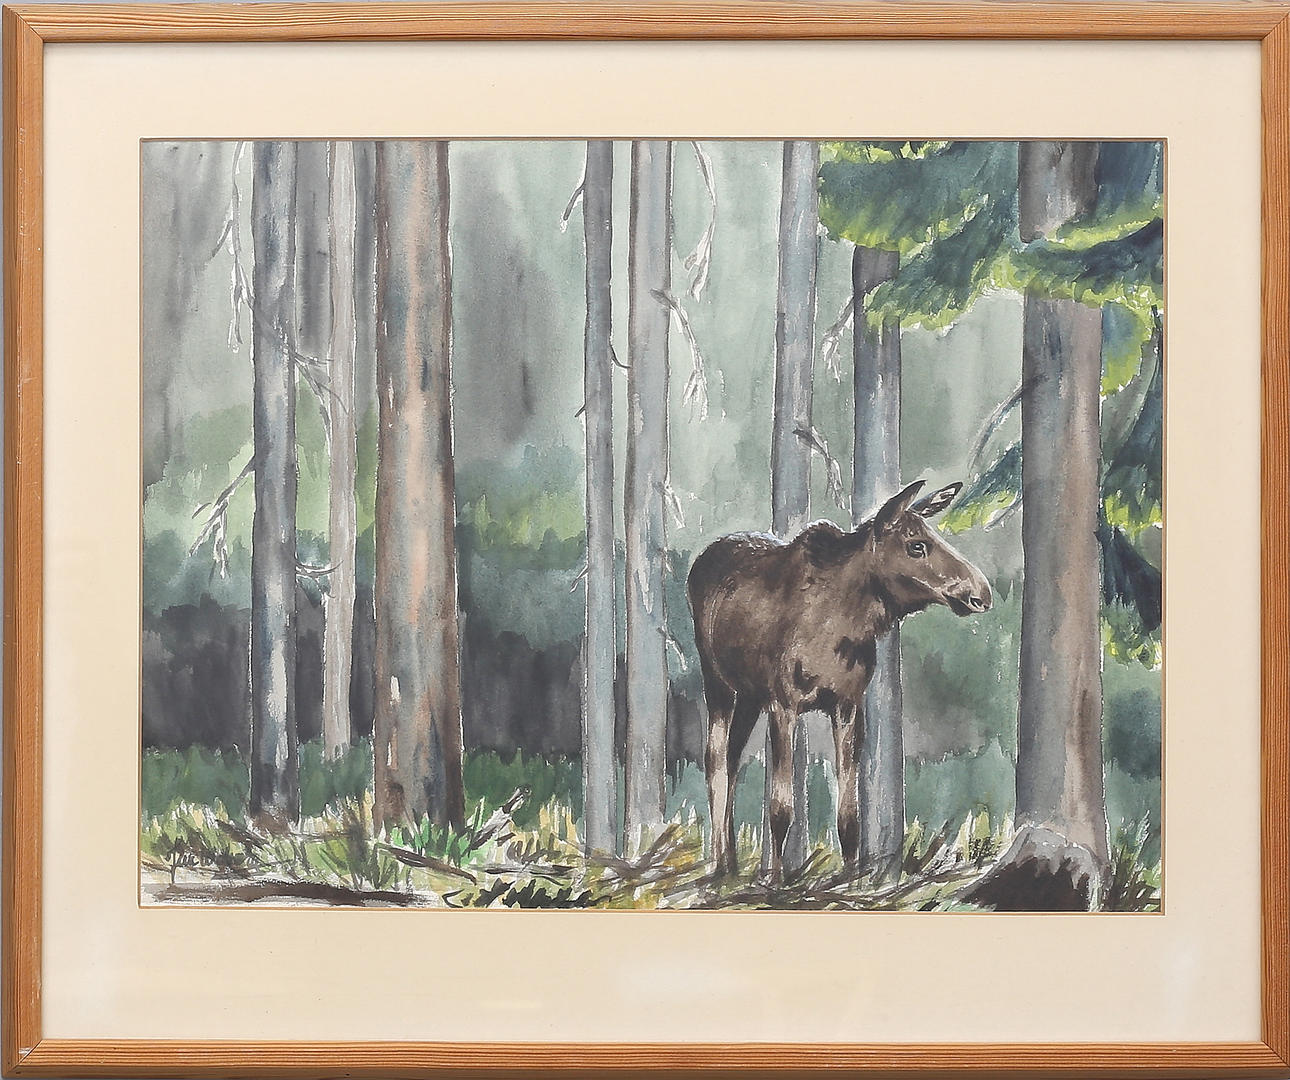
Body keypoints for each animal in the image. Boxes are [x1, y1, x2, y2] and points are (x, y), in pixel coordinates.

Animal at [686, 480, 993, 883]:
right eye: (916, 545)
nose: (982, 593)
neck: (846, 624)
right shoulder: (784, 704)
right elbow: (781, 807)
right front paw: (777, 881)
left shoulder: (848, 704)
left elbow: (849, 815)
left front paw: (853, 879)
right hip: (718, 682)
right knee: (715, 761)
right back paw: (720, 866)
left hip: (750, 696)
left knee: (733, 759)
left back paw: (732, 865)